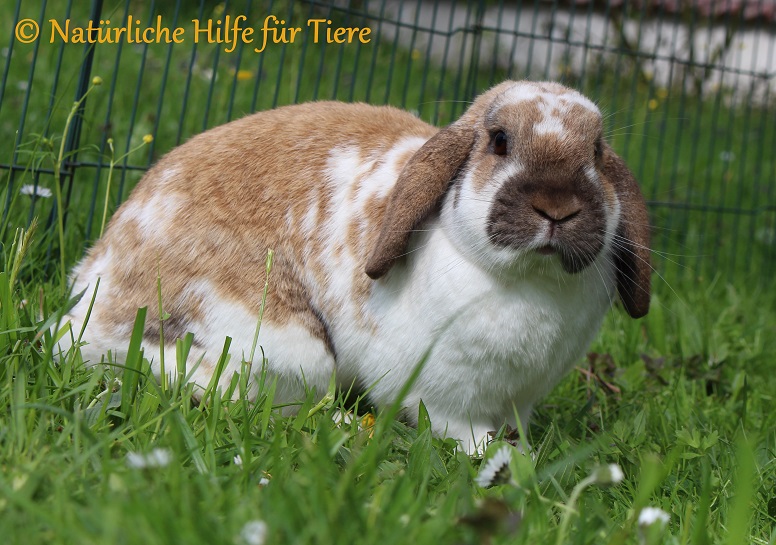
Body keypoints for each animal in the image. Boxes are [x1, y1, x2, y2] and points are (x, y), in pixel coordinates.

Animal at [63, 80, 651, 454]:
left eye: (598, 152)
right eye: (499, 141)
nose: (557, 208)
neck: (530, 282)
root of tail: (85, 320)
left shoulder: (520, 398)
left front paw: (522, 451)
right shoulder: (441, 393)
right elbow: (458, 428)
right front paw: (494, 456)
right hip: (282, 351)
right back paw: (348, 423)